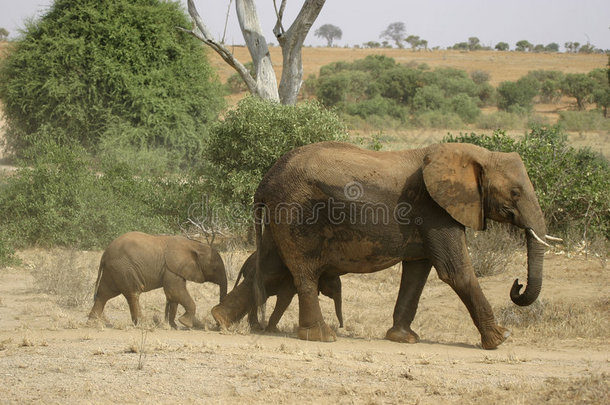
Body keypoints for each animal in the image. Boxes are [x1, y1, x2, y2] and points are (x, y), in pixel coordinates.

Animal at [87, 230, 226, 328]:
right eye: (214, 269)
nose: (217, 325)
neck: (195, 245)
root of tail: (104, 254)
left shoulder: (175, 270)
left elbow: (173, 295)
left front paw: (173, 326)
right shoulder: (171, 268)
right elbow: (175, 291)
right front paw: (185, 324)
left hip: (114, 270)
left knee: (104, 294)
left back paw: (93, 323)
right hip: (124, 268)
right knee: (133, 294)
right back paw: (142, 324)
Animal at [211, 141, 548, 348]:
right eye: (515, 193)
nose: (517, 285)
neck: (474, 154)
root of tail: (264, 183)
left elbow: (416, 273)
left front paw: (403, 338)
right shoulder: (435, 209)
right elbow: (455, 270)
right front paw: (501, 339)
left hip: (282, 218)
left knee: (271, 270)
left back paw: (220, 320)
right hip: (296, 212)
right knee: (303, 272)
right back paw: (322, 336)